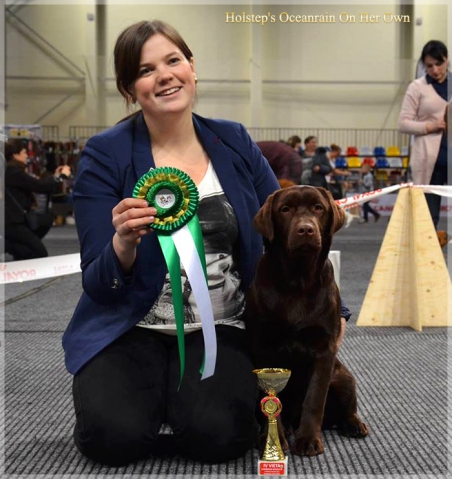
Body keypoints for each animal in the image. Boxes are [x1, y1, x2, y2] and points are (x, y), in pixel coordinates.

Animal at [244, 186, 369, 457]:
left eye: (318, 208)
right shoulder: (263, 347)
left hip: (343, 377)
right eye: (285, 209)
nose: (306, 229)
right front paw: (271, 438)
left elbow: (314, 399)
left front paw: (309, 440)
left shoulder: (324, 350)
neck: (297, 281)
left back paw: (354, 425)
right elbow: (267, 401)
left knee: (347, 407)